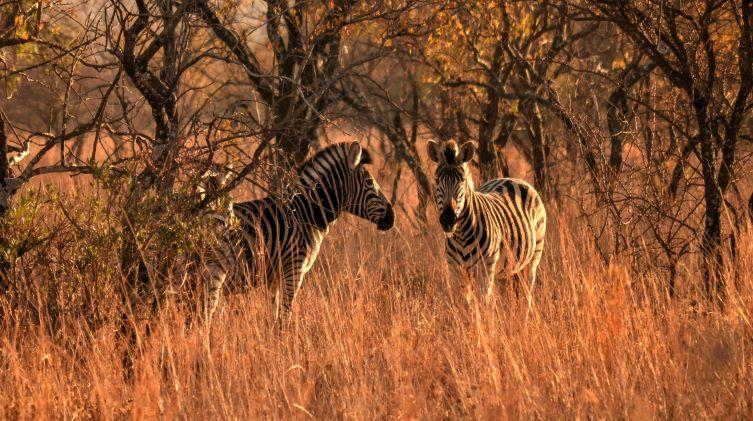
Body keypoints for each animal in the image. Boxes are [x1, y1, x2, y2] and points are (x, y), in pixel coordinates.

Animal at [198, 141, 395, 321]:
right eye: (369, 183)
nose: (392, 218)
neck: (305, 215)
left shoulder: (274, 278)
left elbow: (274, 316)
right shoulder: (294, 269)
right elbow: (285, 316)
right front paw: (286, 338)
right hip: (213, 272)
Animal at [426, 139, 546, 306]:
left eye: (462, 181)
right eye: (437, 181)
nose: (448, 220)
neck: (461, 236)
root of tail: (511, 179)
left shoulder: (485, 271)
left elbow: (483, 305)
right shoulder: (455, 270)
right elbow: (463, 306)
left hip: (533, 258)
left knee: (526, 298)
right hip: (505, 271)